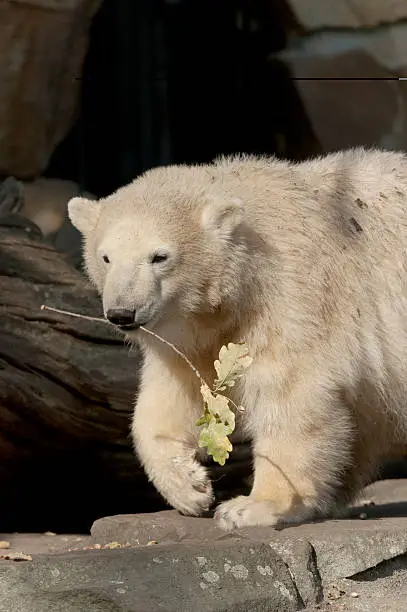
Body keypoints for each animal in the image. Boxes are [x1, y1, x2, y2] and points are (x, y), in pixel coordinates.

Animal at [68, 149, 407, 532]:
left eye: (159, 257)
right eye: (105, 257)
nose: (122, 313)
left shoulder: (294, 298)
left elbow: (292, 396)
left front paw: (251, 507)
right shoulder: (190, 338)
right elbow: (169, 398)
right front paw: (190, 488)